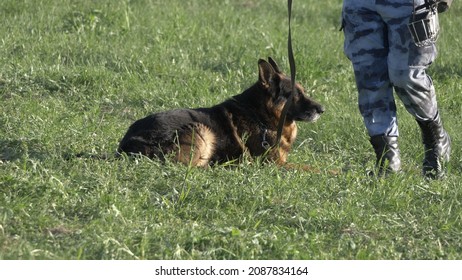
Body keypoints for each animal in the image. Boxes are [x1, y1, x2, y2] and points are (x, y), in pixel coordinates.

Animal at [117, 56, 324, 166]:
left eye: (304, 91)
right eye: (296, 95)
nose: (322, 109)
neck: (260, 117)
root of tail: (126, 144)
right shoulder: (276, 164)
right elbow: (312, 168)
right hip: (200, 129)